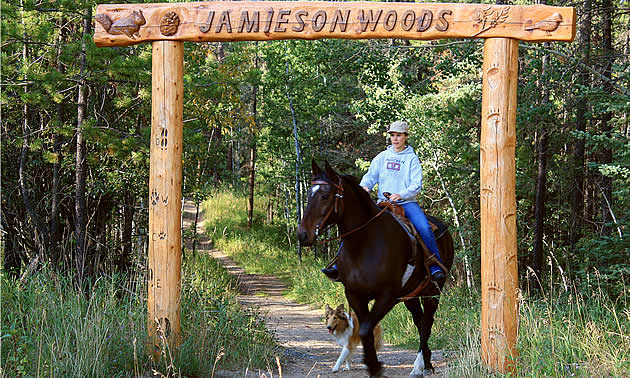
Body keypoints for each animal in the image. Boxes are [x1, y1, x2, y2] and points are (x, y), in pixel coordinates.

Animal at [298, 161, 454, 376]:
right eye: (308, 195)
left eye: (325, 195)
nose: (302, 235)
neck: (365, 244)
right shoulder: (354, 295)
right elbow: (366, 330)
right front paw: (372, 364)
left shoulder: (387, 296)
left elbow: (365, 329)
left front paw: (375, 366)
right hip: (411, 295)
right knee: (419, 320)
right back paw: (425, 363)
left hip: (432, 292)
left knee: (426, 324)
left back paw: (421, 366)